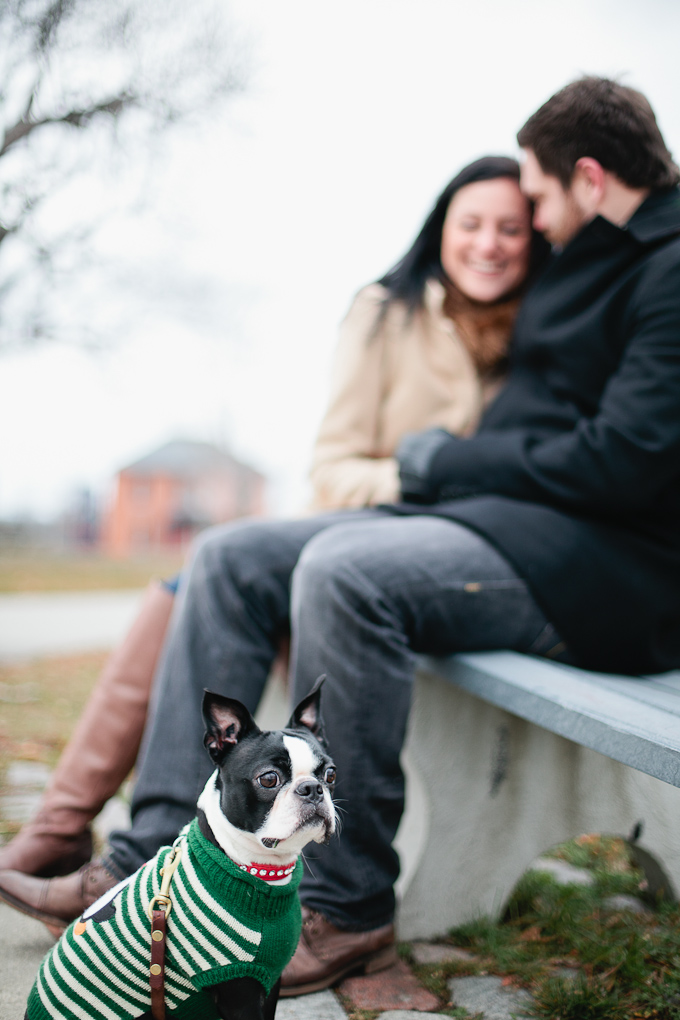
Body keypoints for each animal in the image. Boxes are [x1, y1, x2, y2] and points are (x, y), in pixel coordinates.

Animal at [26, 677, 338, 1020]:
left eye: (331, 774)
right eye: (269, 779)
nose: (312, 788)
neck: (256, 872)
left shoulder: (270, 981)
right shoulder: (239, 988)